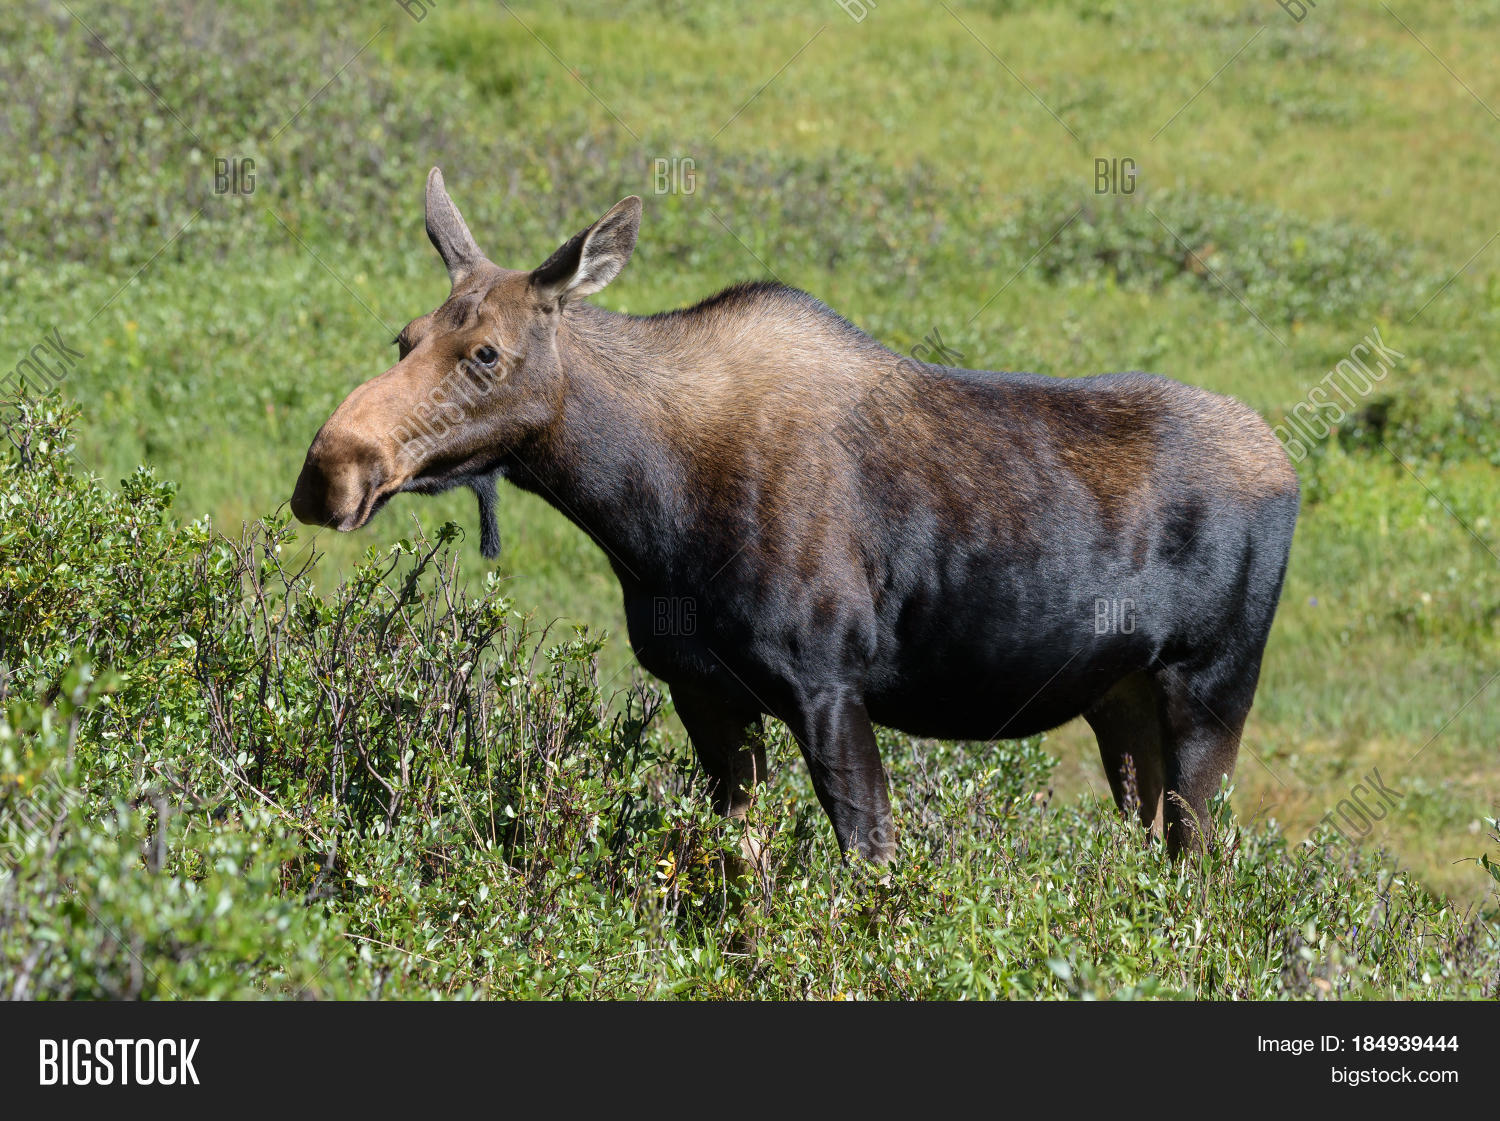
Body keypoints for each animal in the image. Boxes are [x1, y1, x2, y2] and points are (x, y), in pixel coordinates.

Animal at [290, 168, 1299, 872]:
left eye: (488, 353)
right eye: (407, 336)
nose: (330, 469)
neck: (641, 511)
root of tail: (1289, 467)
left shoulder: (828, 683)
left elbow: (869, 868)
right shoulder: (703, 690)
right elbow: (741, 866)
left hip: (1212, 687)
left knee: (1201, 867)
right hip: (1118, 698)